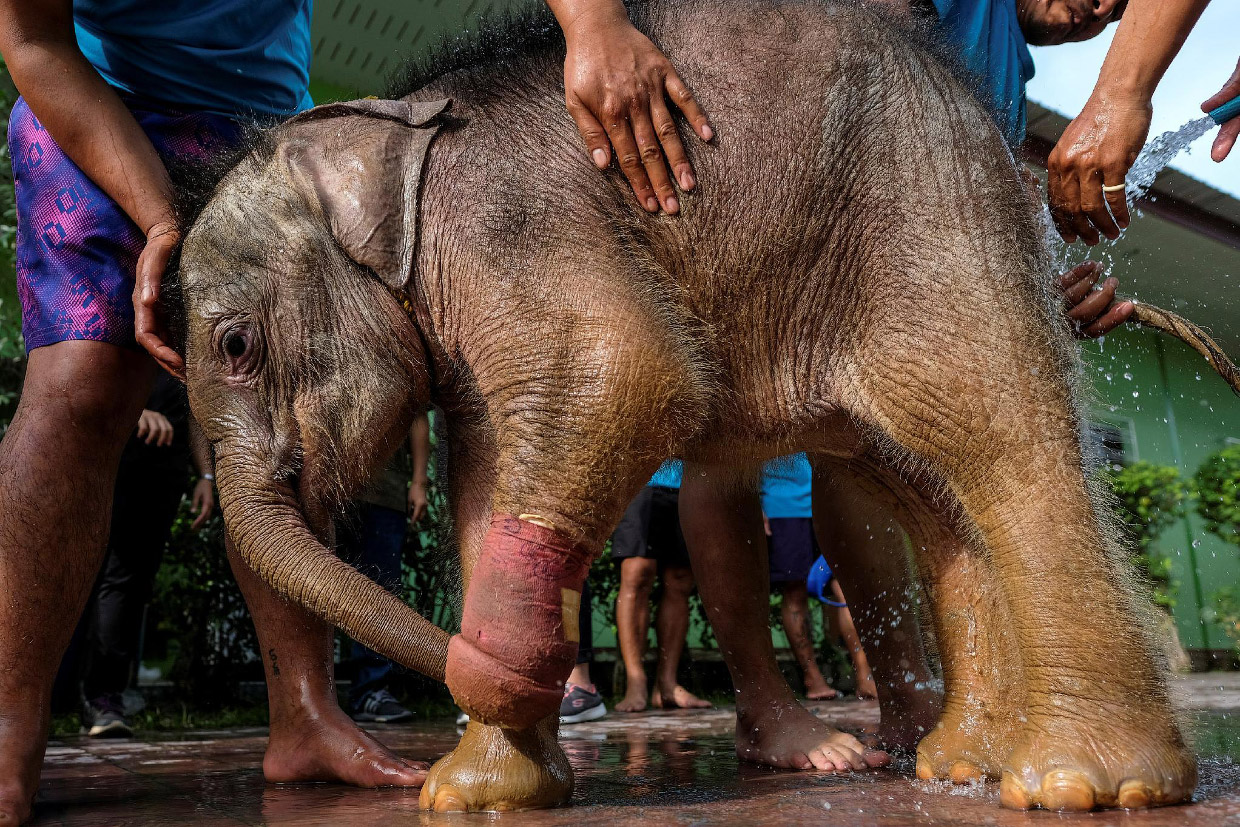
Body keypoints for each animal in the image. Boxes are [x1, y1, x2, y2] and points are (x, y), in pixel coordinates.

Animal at [174, 0, 1190, 818]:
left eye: (236, 345)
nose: (550, 680)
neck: (382, 124)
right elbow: (488, 482)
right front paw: (474, 792)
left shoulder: (509, 228)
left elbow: (624, 373)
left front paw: (494, 716)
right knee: (923, 486)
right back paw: (958, 763)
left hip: (924, 202)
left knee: (990, 426)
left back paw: (1082, 783)